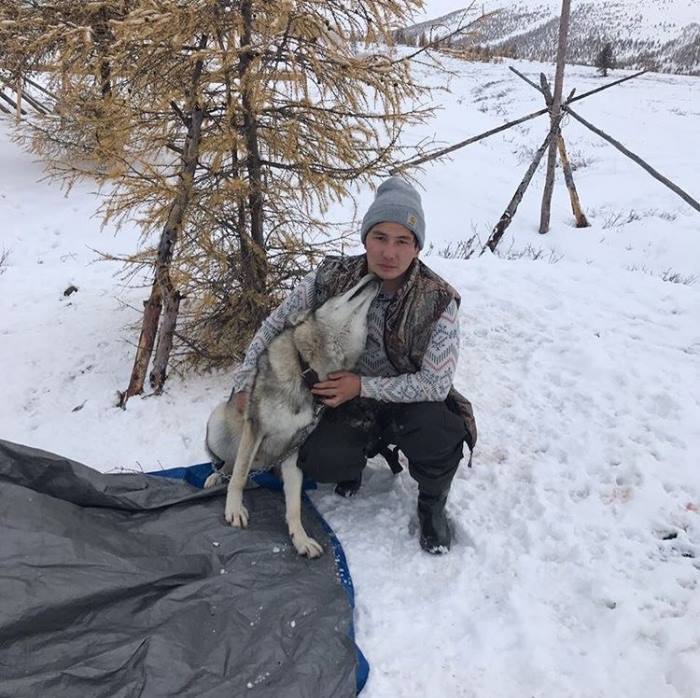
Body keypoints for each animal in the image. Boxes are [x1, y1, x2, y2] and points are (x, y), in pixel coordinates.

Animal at [205, 273, 380, 558]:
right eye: (342, 288)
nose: (374, 276)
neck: (307, 373)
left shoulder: (295, 446)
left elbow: (295, 504)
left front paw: (300, 538)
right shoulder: (255, 428)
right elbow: (239, 477)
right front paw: (234, 509)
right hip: (219, 423)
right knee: (228, 464)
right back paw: (213, 477)